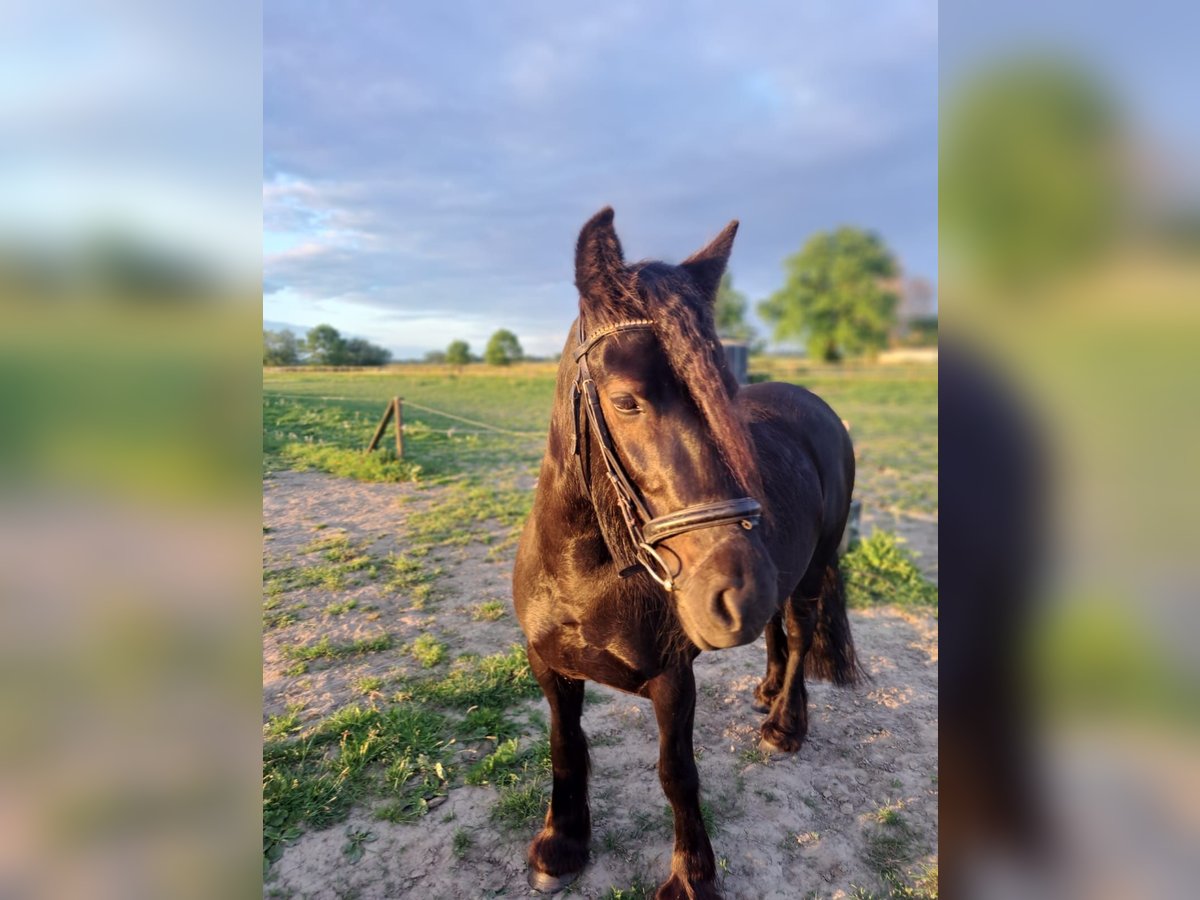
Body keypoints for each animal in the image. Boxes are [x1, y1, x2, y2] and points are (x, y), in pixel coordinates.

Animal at [512, 208, 862, 899]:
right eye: (626, 400)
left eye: (725, 392)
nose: (738, 587)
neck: (584, 575)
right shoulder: (550, 668)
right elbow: (565, 749)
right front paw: (561, 844)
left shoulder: (673, 678)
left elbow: (676, 772)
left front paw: (692, 873)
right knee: (776, 628)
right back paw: (767, 688)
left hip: (811, 570)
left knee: (801, 632)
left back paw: (785, 724)